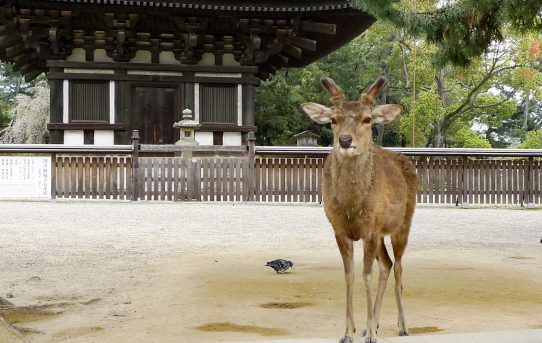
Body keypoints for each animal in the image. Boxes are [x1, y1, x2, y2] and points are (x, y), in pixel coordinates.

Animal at [304, 76, 418, 342]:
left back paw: (402, 326)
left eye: (367, 119)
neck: (352, 207)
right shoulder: (340, 230)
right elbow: (350, 275)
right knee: (387, 264)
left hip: (403, 225)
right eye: (333, 119)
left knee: (398, 267)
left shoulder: (371, 230)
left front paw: (370, 336)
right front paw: (349, 331)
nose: (345, 140)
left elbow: (367, 275)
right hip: (382, 235)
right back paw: (372, 324)